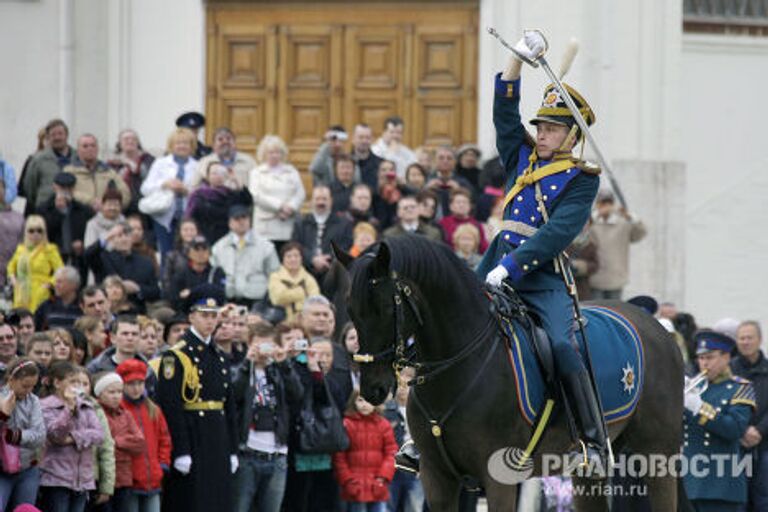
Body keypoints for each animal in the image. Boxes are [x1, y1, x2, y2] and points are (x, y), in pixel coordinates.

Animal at [336, 237, 684, 512]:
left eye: (384, 308)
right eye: (350, 309)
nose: (372, 389)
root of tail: (656, 327)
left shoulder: (498, 478)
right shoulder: (437, 479)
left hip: (658, 457)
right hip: (588, 474)